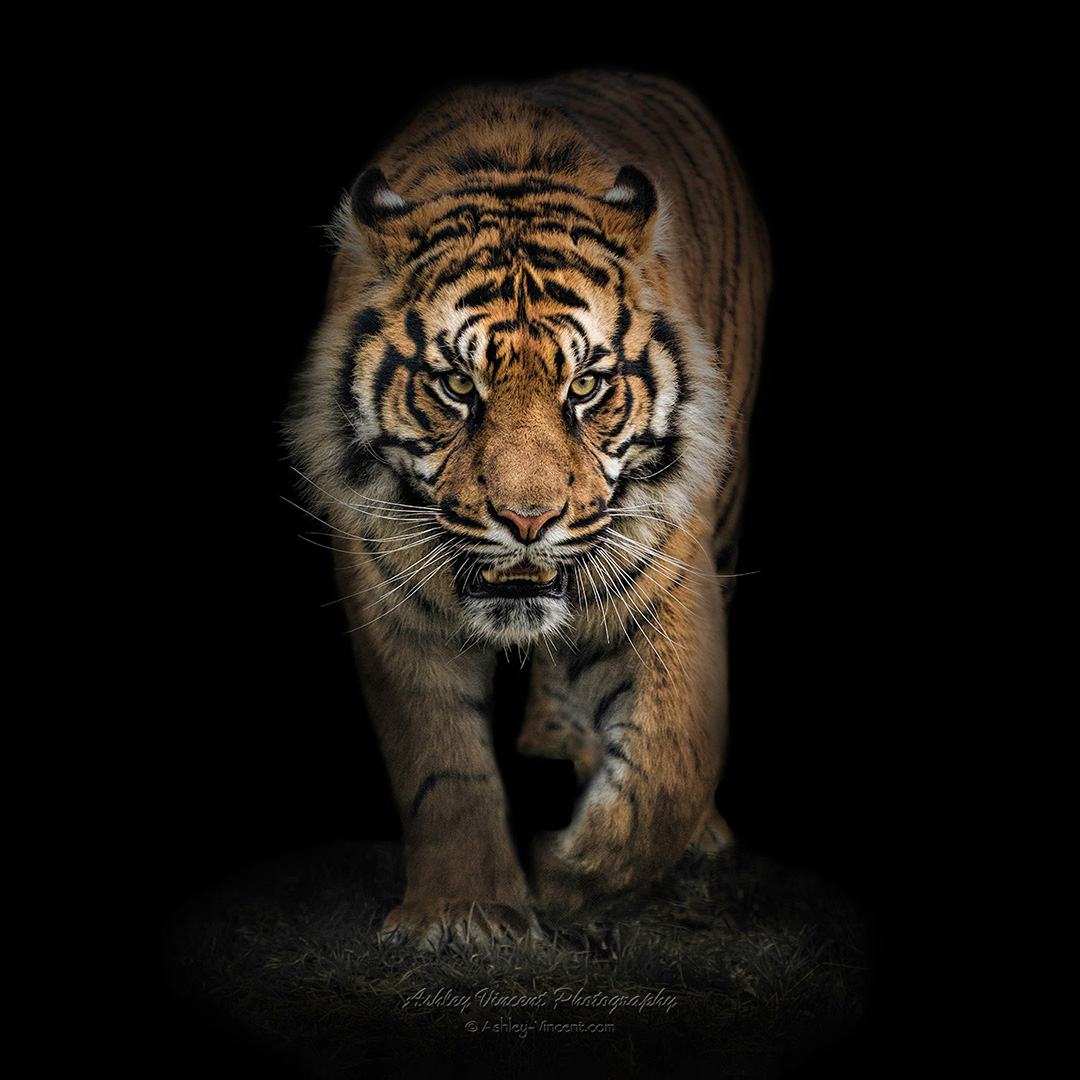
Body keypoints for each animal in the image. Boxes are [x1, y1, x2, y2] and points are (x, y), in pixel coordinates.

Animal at [286, 70, 770, 949]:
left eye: (586, 387)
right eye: (456, 385)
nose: (528, 521)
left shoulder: (663, 570)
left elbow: (669, 766)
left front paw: (565, 878)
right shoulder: (387, 588)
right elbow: (439, 760)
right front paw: (463, 912)